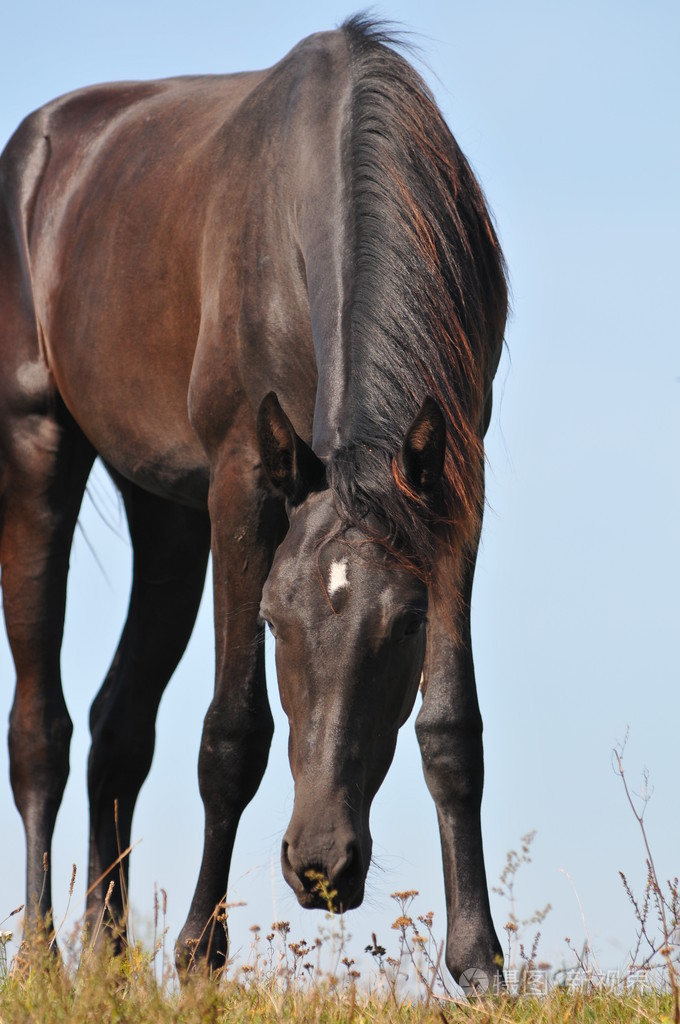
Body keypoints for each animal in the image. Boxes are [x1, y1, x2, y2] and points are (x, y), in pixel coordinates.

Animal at [0, 16, 508, 988]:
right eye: (273, 620)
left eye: (407, 625)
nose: (322, 868)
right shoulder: (244, 480)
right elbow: (231, 734)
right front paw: (200, 955)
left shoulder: (454, 492)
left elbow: (452, 731)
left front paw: (481, 964)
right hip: (39, 448)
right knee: (41, 730)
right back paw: (44, 960)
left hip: (165, 512)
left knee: (119, 727)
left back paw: (108, 962)